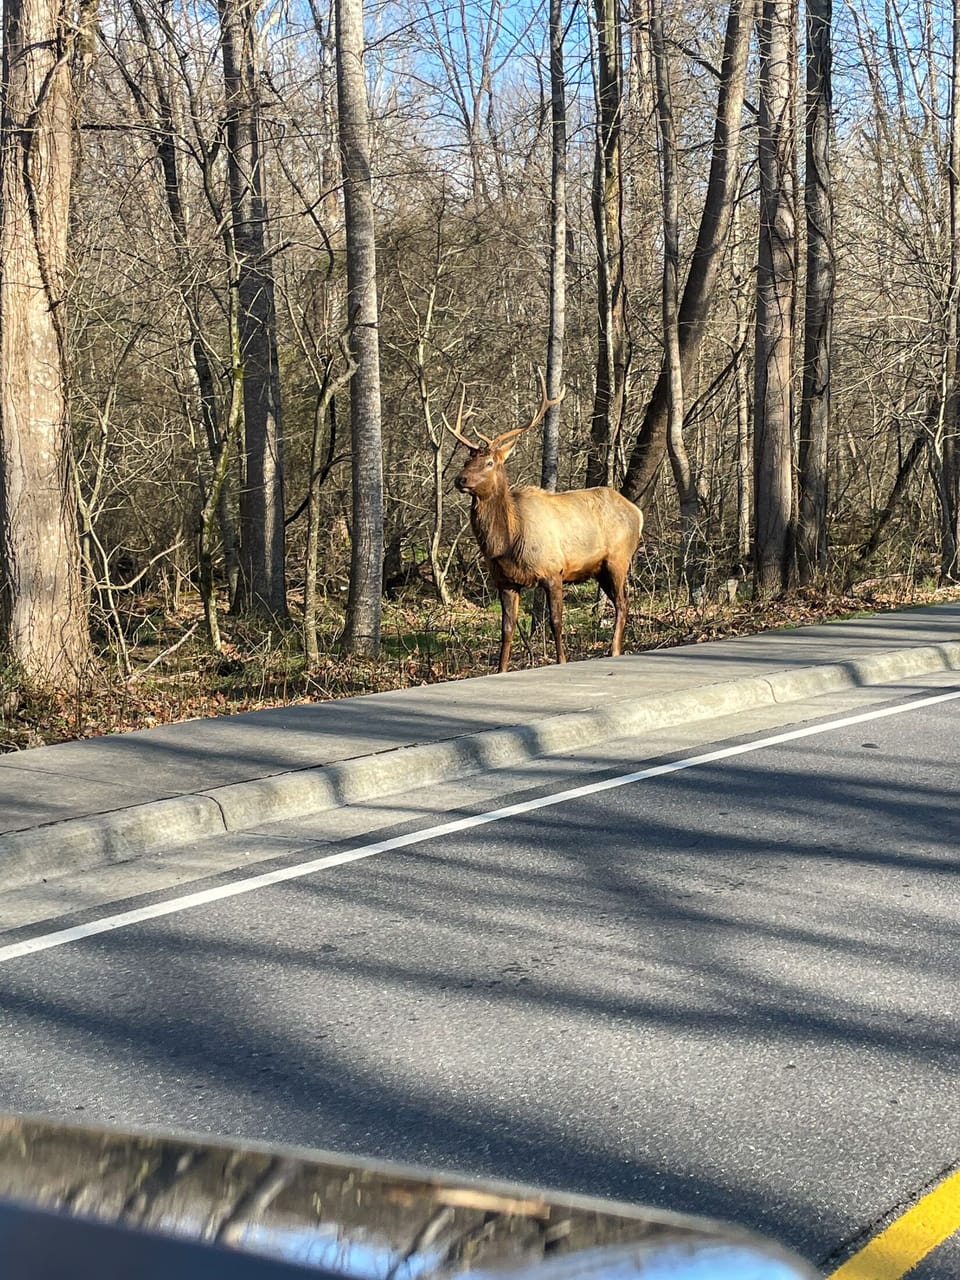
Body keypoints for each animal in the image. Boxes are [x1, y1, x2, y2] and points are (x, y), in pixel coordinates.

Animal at [446, 375, 643, 673]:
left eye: (490, 462)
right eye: (467, 459)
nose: (461, 479)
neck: (507, 543)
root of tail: (638, 512)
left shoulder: (553, 571)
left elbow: (556, 621)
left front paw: (561, 660)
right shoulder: (504, 581)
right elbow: (507, 629)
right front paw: (501, 669)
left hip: (618, 558)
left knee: (622, 602)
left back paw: (614, 650)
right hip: (600, 569)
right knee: (622, 601)